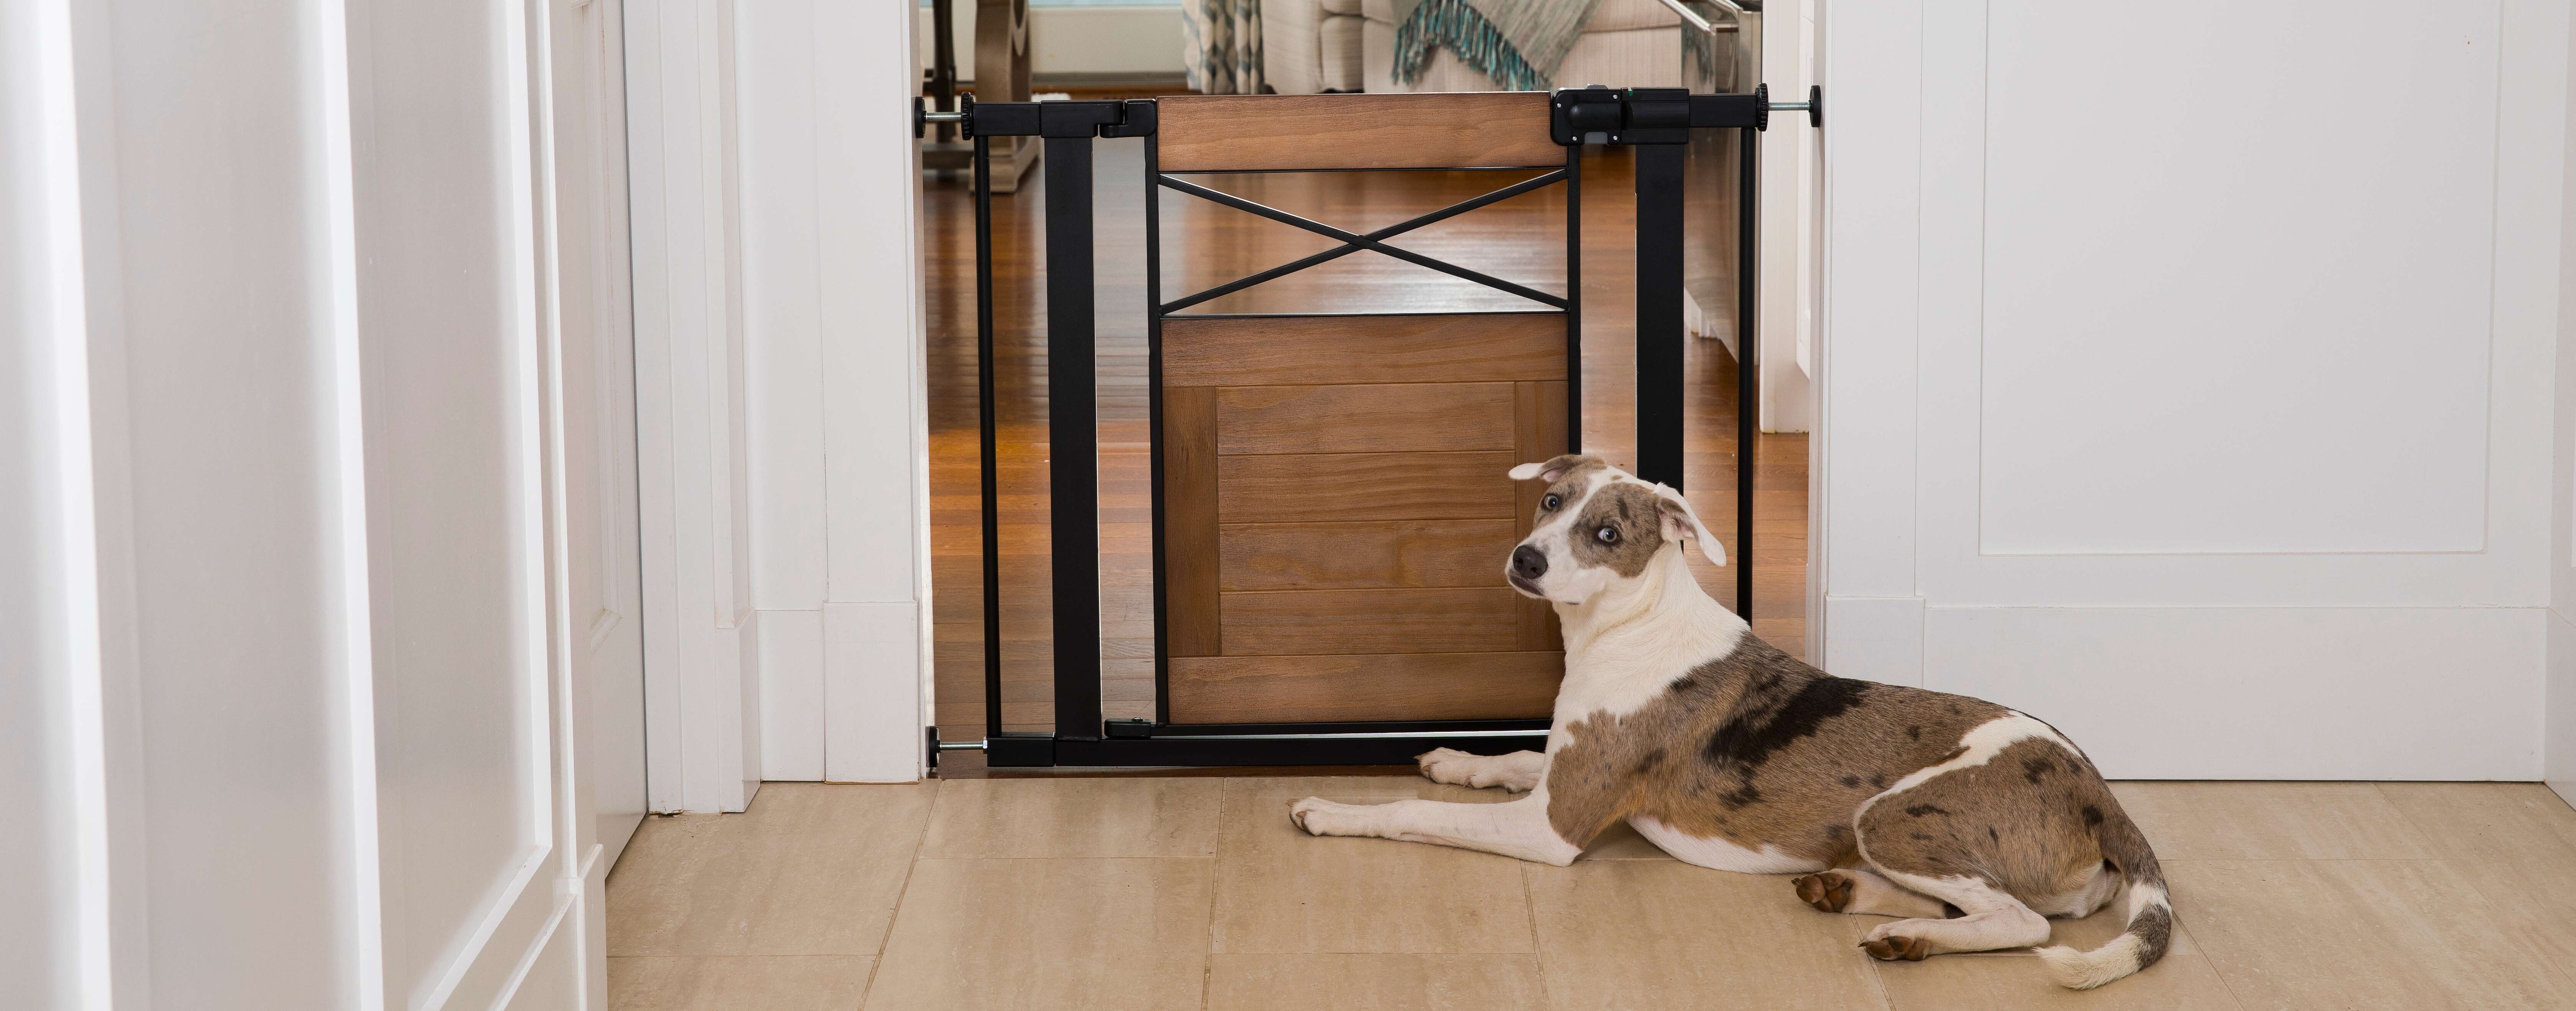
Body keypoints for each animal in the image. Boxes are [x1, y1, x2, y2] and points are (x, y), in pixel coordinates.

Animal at [1288, 456, 2174, 985]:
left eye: (1606, 533)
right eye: (1549, 501)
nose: (1526, 559)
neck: (1629, 624)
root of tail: (2102, 794)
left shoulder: (1554, 826)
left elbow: (1414, 814)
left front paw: (1331, 810)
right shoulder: (1565, 769)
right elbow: (1511, 759)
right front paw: (1455, 759)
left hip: (1890, 814)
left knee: (2020, 920)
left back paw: (1898, 931)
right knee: (1981, 906)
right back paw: (1860, 903)